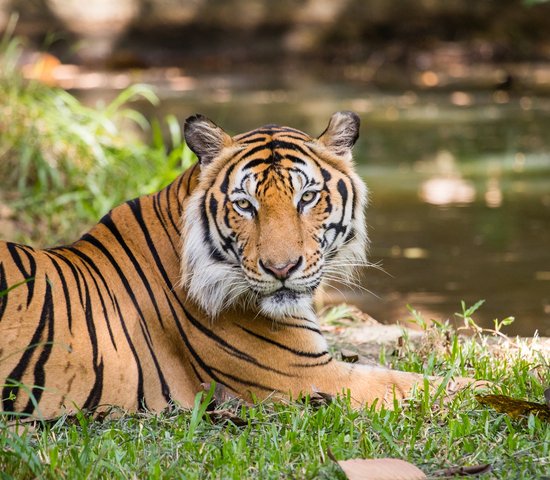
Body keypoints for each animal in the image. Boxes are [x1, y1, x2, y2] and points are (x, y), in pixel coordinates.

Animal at [0, 112, 468, 420]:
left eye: (307, 198)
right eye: (245, 205)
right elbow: (426, 384)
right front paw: (486, 387)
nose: (281, 268)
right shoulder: (310, 376)